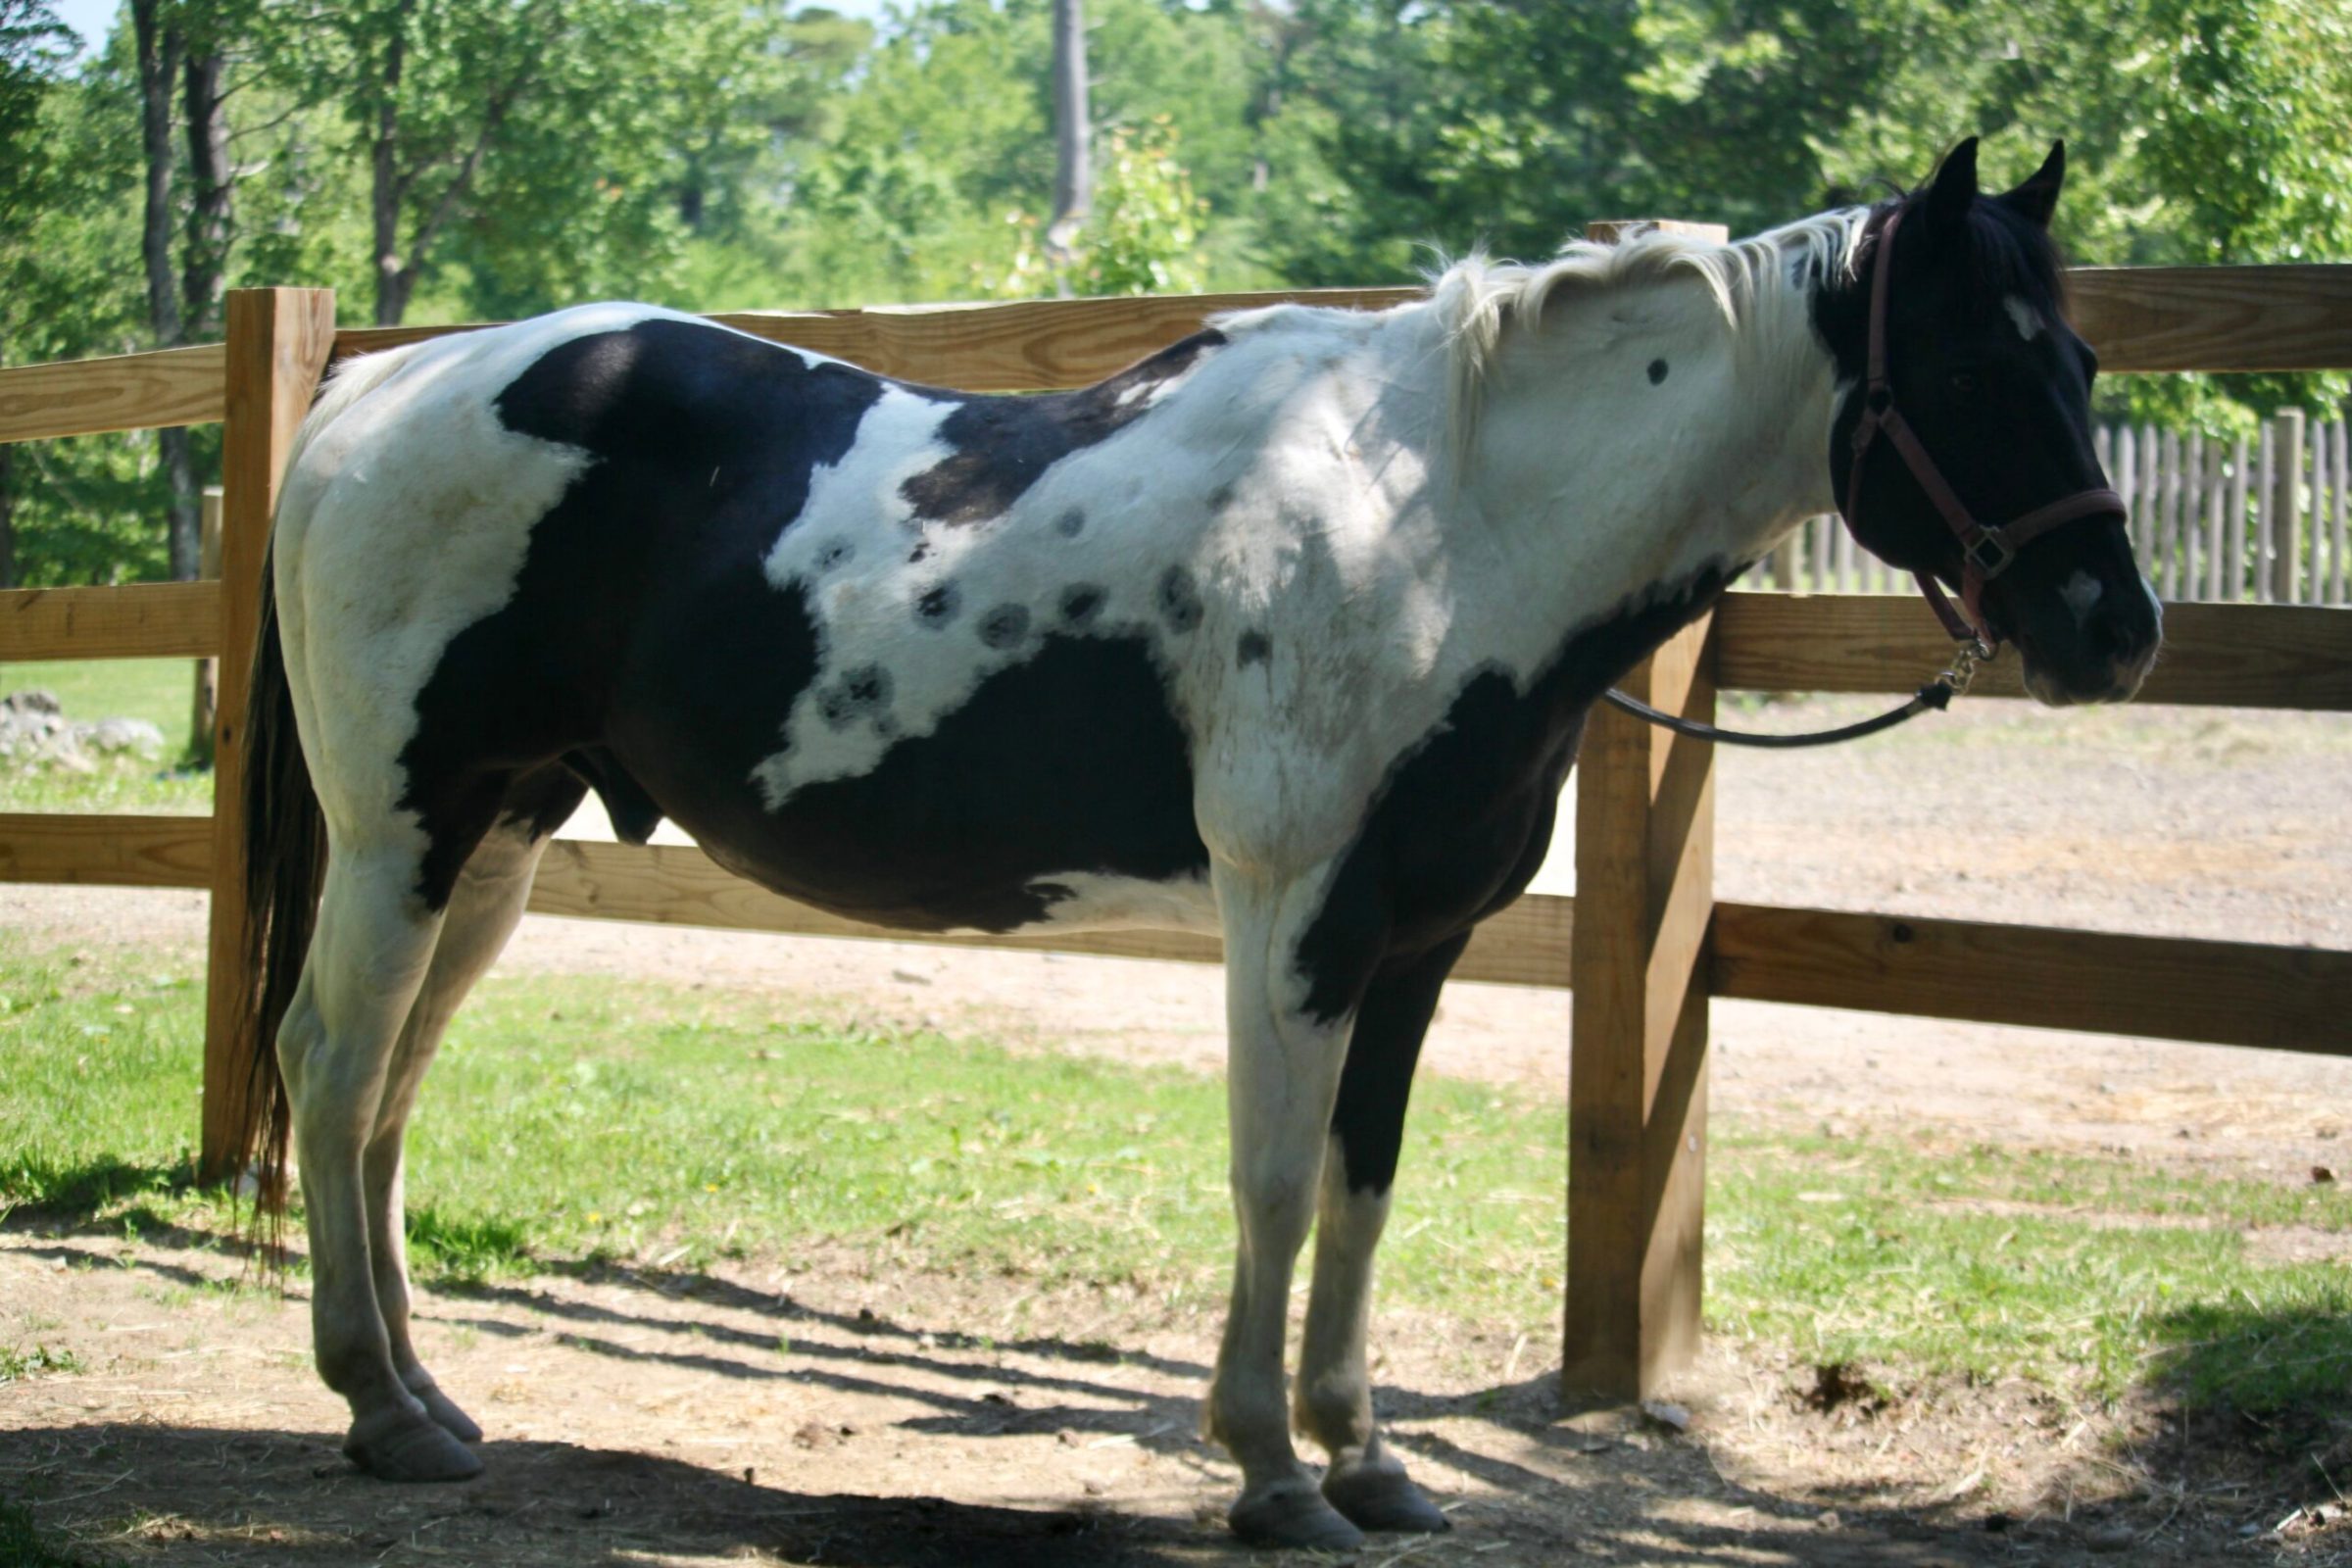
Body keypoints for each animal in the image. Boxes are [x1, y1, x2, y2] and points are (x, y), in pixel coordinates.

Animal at [228, 136, 2159, 1550]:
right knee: (331, 1063)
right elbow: (1278, 1180)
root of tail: (364, 404)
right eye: (1974, 362)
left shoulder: (1417, 942)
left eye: (2078, 357)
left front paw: (1369, 1462)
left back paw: (431, 1399)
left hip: (493, 840)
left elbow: (1367, 1190)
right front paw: (1275, 1478)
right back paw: (379, 1409)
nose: (2115, 629)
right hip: (401, 832)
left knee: (385, 1093)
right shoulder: (1293, 917)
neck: (1442, 516)